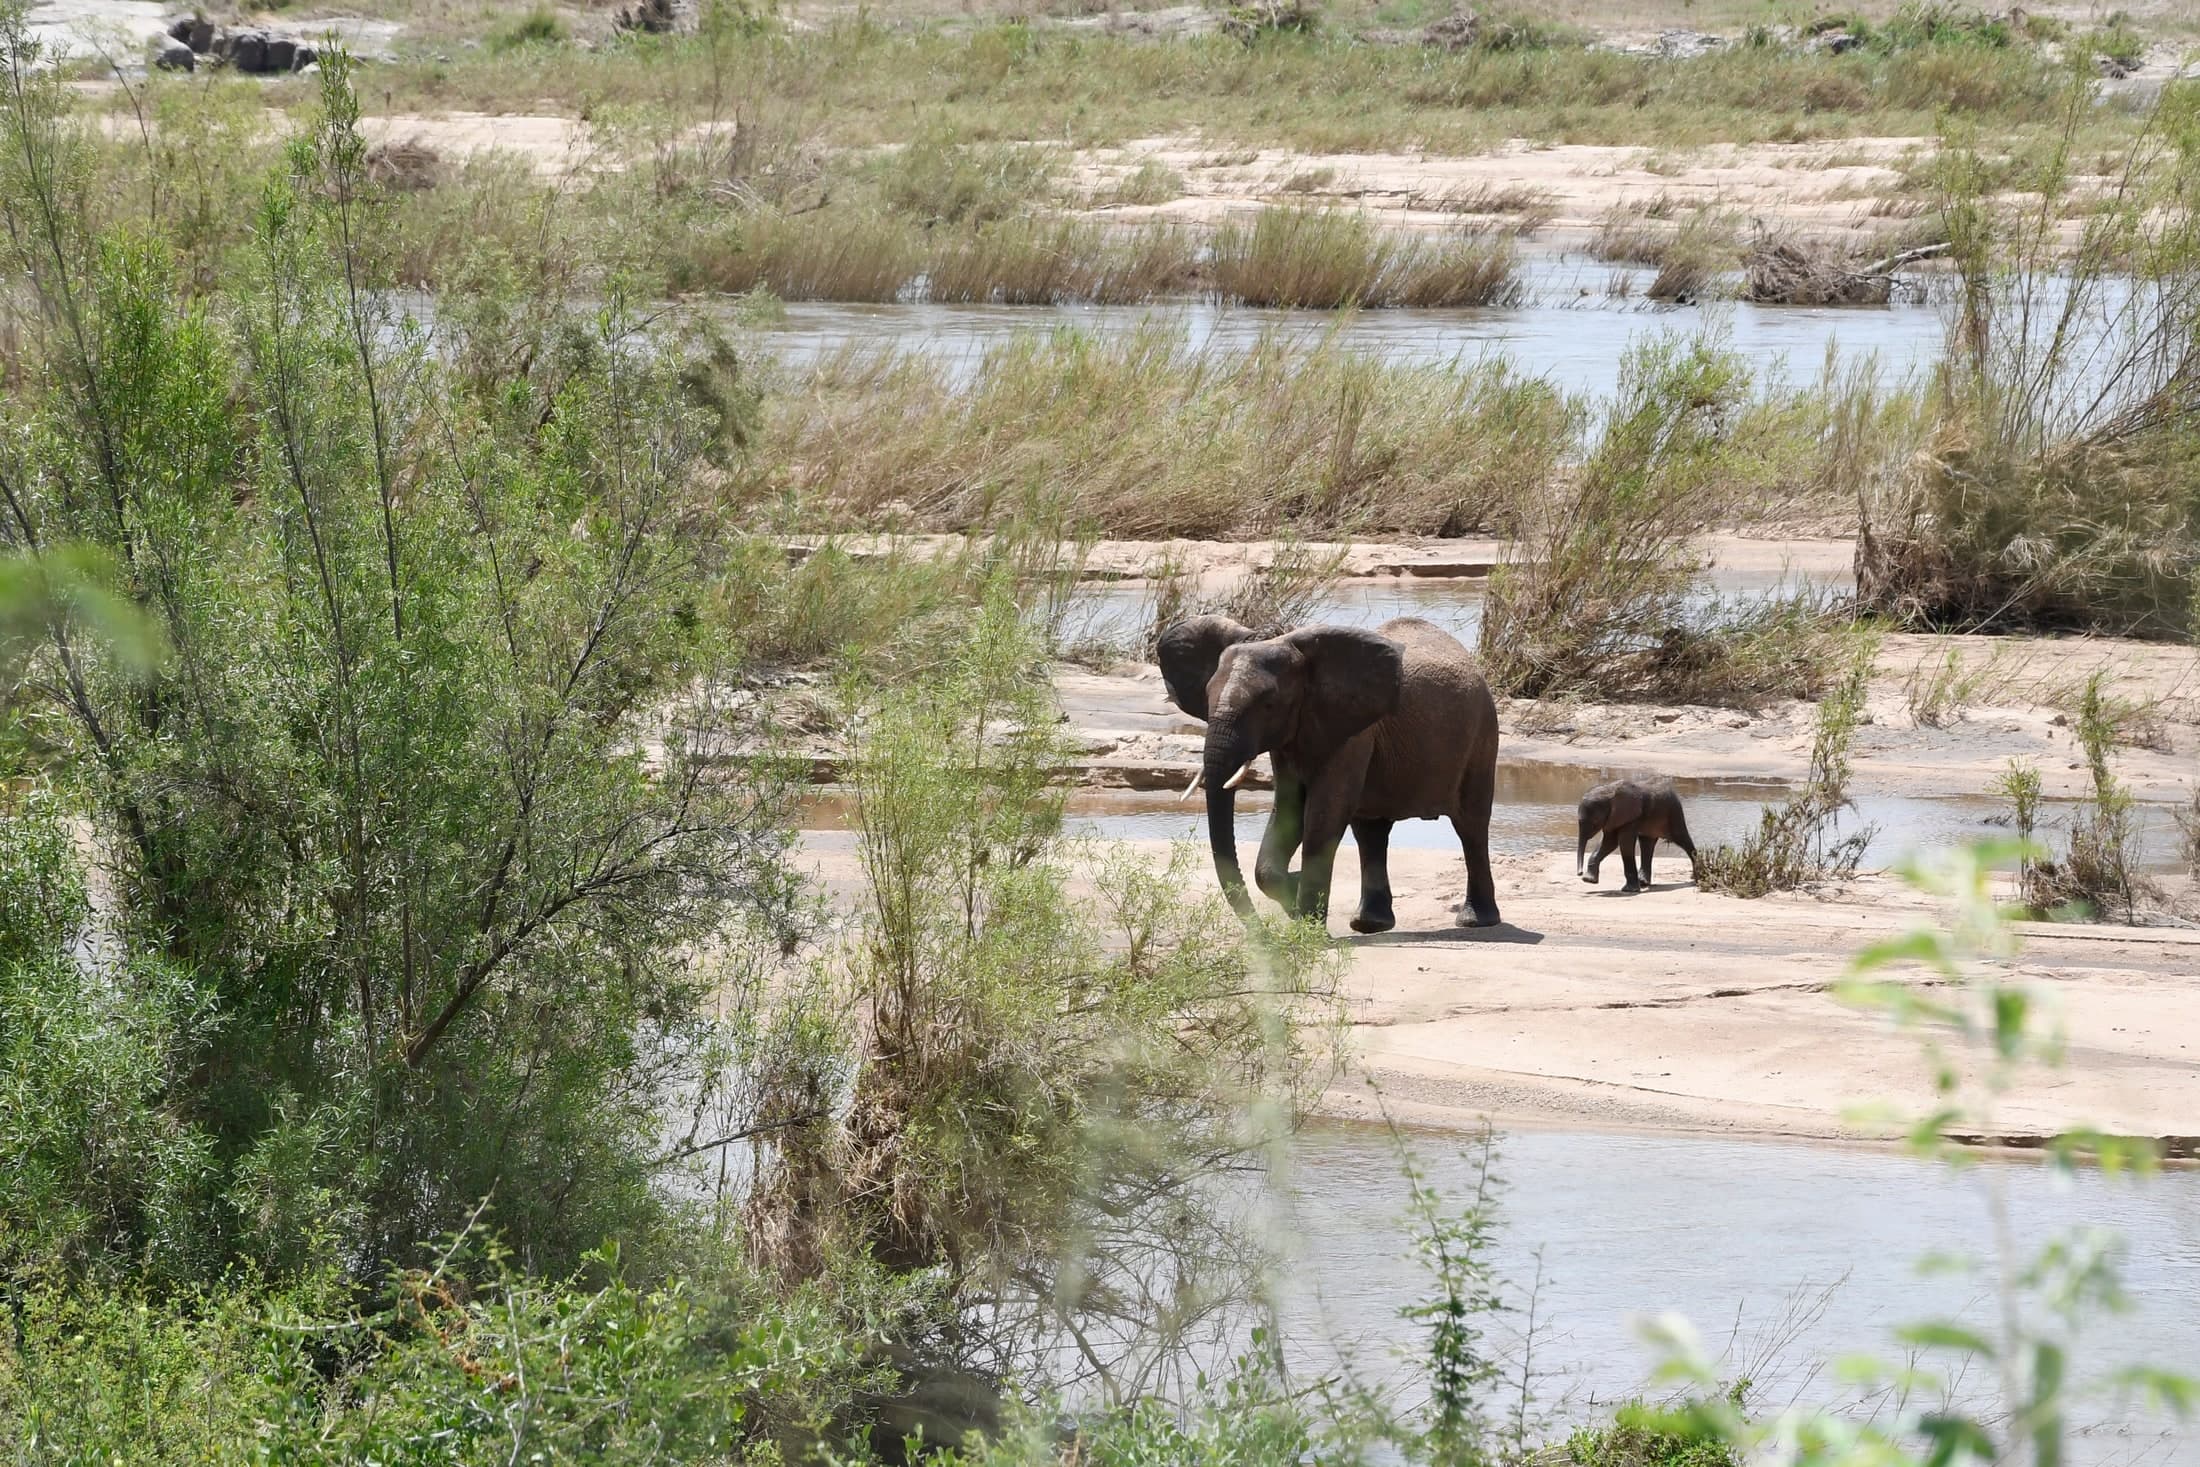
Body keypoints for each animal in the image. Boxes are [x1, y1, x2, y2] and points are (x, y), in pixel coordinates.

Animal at [1157, 614, 1501, 933]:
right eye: (1207, 696)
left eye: (1269, 704)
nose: (1263, 935)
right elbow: (1289, 809)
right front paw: (1295, 897)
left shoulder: (1354, 732)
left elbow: (1324, 814)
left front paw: (1306, 927)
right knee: (1371, 831)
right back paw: (1369, 925)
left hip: (1482, 735)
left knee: (1471, 826)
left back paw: (1475, 921)